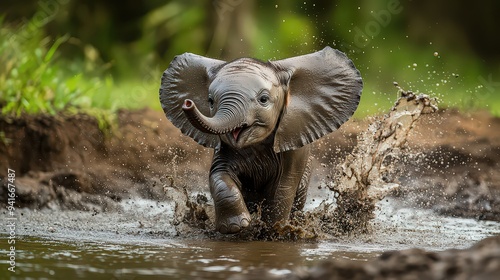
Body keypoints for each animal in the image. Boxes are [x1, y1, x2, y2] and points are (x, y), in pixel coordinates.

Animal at [158, 46, 362, 234]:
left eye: (263, 99)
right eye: (210, 101)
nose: (187, 103)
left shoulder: (292, 150)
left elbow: (282, 188)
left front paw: (273, 231)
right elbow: (220, 175)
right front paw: (236, 226)